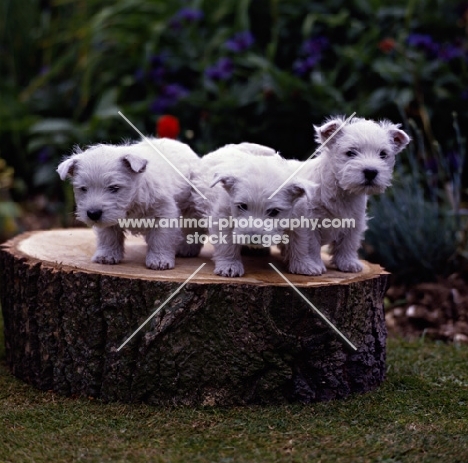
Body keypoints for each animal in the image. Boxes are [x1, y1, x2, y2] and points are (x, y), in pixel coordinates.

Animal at [56, 136, 199, 270]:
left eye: (114, 188)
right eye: (83, 189)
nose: (93, 213)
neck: (132, 203)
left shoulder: (164, 214)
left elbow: (160, 239)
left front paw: (159, 260)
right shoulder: (108, 220)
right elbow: (109, 236)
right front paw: (106, 256)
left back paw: (187, 248)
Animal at [192, 146, 316, 276]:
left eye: (274, 212)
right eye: (242, 206)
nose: (253, 237)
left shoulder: (297, 219)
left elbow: (299, 243)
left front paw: (304, 264)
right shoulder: (223, 217)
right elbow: (226, 244)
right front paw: (229, 265)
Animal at [296, 117, 410, 276]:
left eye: (383, 154)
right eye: (350, 153)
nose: (371, 172)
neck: (342, 191)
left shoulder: (354, 221)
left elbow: (348, 243)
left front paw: (348, 263)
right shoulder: (310, 221)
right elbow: (312, 246)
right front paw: (314, 265)